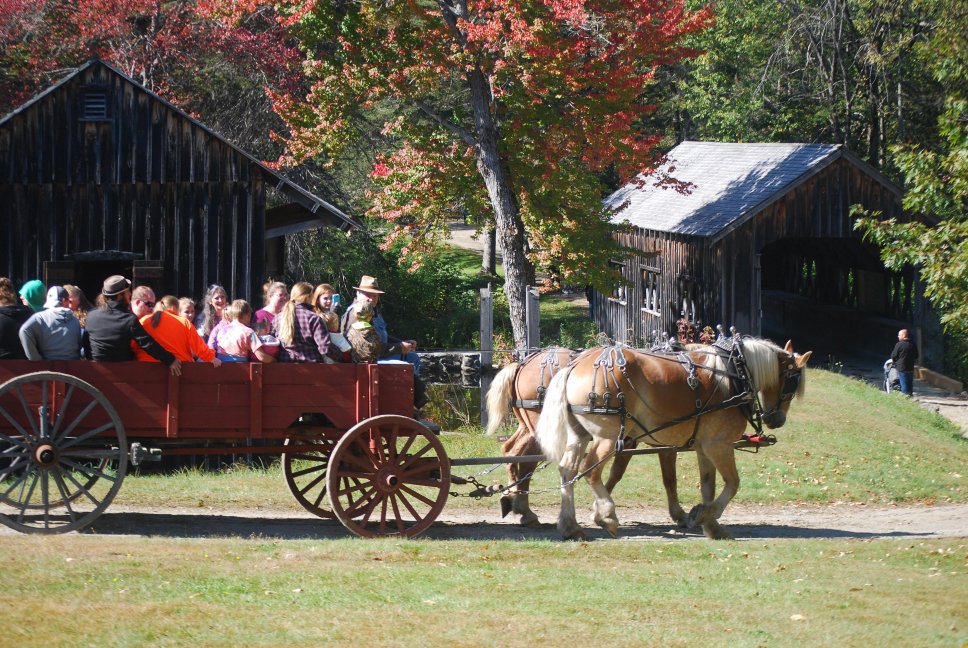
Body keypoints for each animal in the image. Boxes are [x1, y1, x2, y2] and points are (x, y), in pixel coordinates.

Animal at [532, 336, 812, 540]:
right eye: (791, 384)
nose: (777, 419)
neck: (734, 373)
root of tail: (573, 366)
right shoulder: (719, 444)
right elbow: (732, 484)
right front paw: (706, 516)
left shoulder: (703, 446)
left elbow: (708, 485)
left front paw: (709, 522)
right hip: (608, 437)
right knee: (590, 470)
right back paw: (607, 515)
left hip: (579, 435)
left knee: (568, 470)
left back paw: (570, 525)